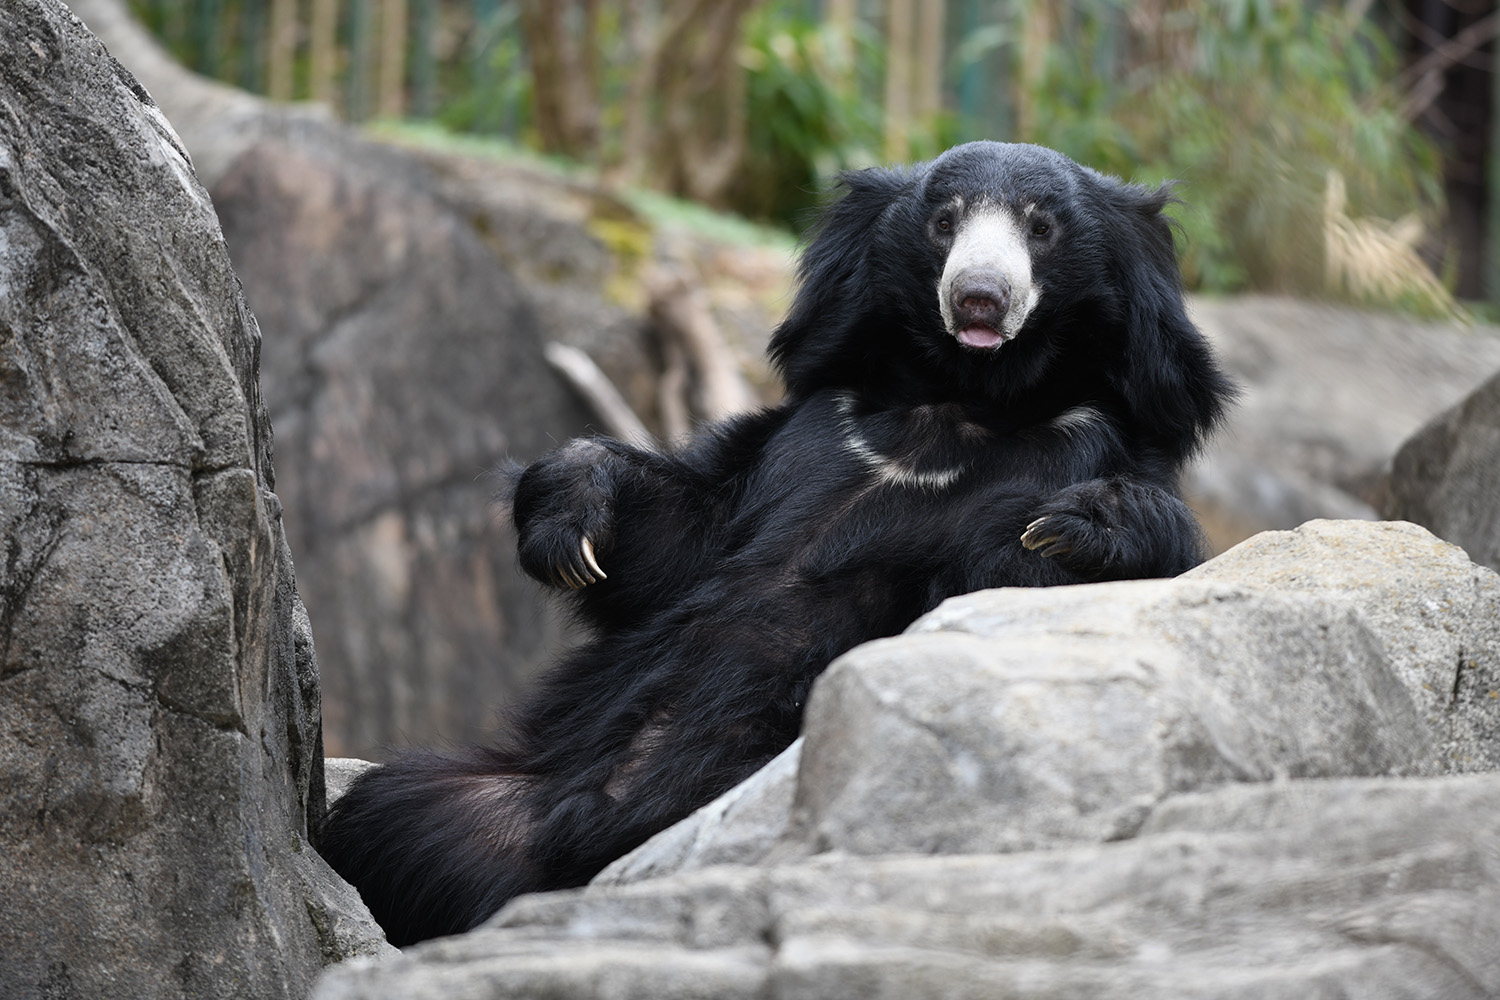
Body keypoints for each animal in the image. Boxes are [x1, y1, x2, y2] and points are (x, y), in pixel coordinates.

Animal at [316, 142, 1230, 947]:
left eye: (1041, 228)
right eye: (944, 221)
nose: (978, 297)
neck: (959, 405)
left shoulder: (1082, 441)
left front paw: (1070, 533)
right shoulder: (818, 430)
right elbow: (680, 538)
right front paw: (573, 519)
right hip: (495, 798)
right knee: (392, 816)